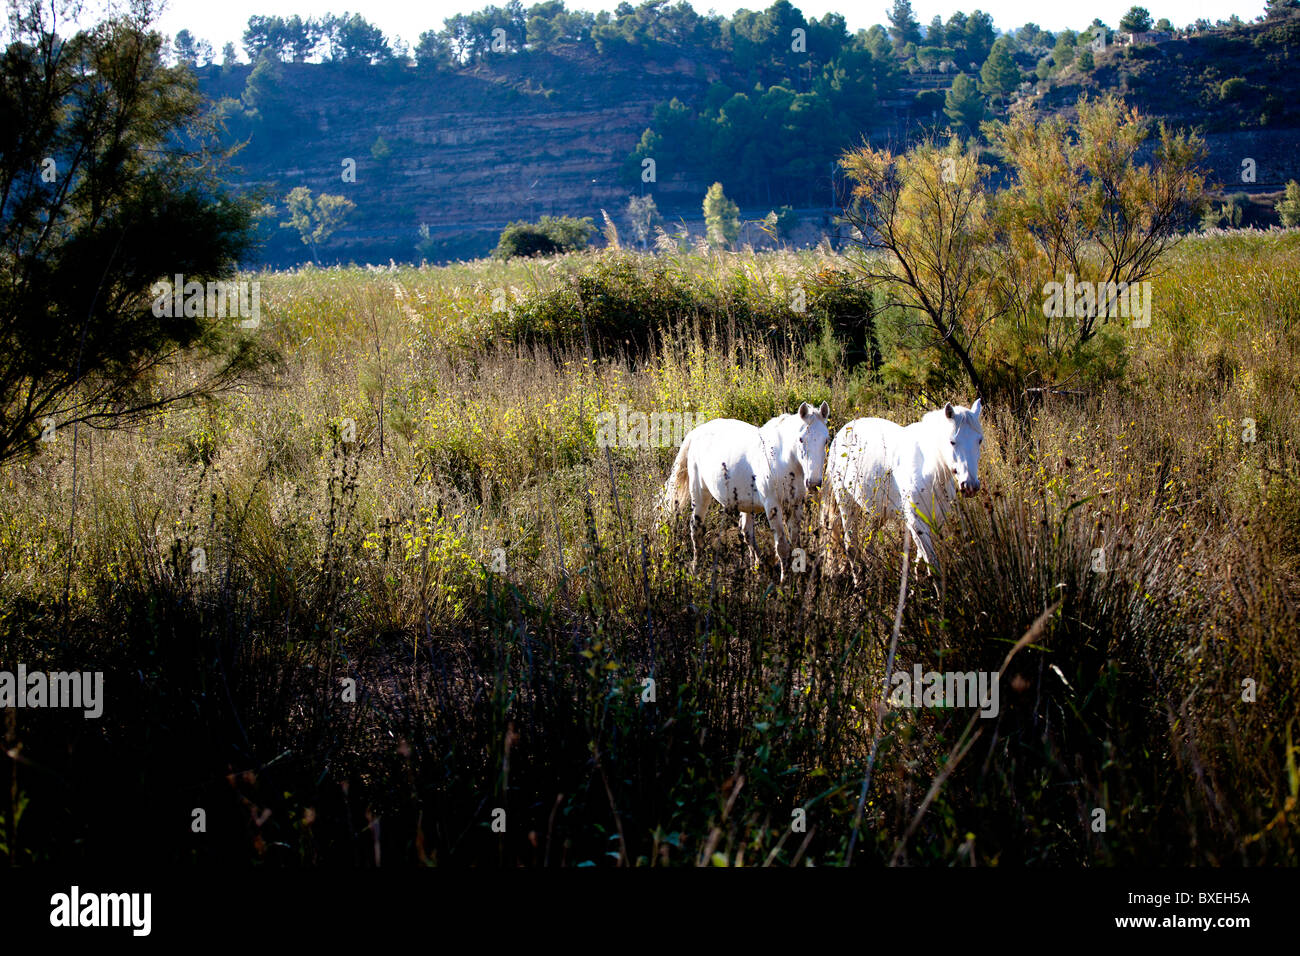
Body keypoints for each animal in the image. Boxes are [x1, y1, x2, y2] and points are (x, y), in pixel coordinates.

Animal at [660, 400, 832, 580]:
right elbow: (782, 547)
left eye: (826, 440)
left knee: (746, 532)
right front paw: (784, 582)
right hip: (699, 494)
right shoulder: (773, 506)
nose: (813, 483)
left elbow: (795, 545)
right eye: (800, 439)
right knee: (696, 529)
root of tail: (696, 432)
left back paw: (757, 566)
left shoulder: (795, 505)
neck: (783, 460)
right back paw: (696, 571)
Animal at [821, 400, 982, 580]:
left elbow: (923, 559)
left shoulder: (934, 521)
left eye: (980, 441)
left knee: (867, 543)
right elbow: (932, 563)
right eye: (952, 441)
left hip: (880, 512)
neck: (930, 470)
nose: (970, 486)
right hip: (846, 503)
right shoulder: (916, 521)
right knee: (851, 545)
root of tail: (841, 433)